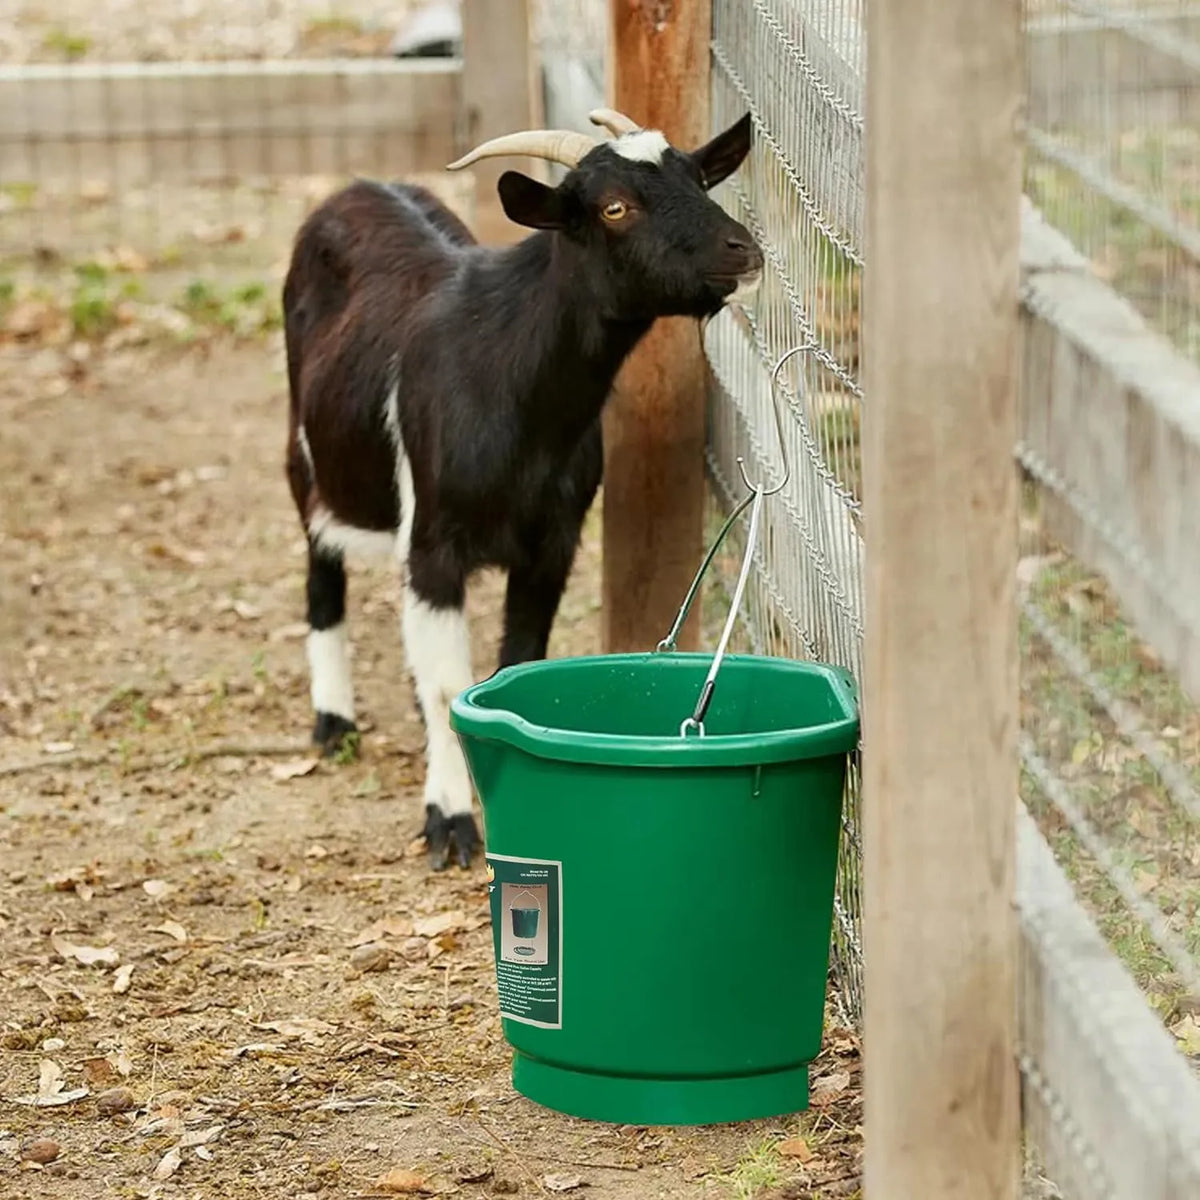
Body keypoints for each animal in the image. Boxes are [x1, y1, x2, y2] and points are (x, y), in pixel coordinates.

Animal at [282, 106, 763, 871]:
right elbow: (450, 679)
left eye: (696, 176)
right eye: (614, 207)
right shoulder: (434, 542)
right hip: (308, 454)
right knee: (320, 564)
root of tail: (359, 185)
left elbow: (515, 663)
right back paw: (333, 722)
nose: (742, 251)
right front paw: (450, 821)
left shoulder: (552, 542)